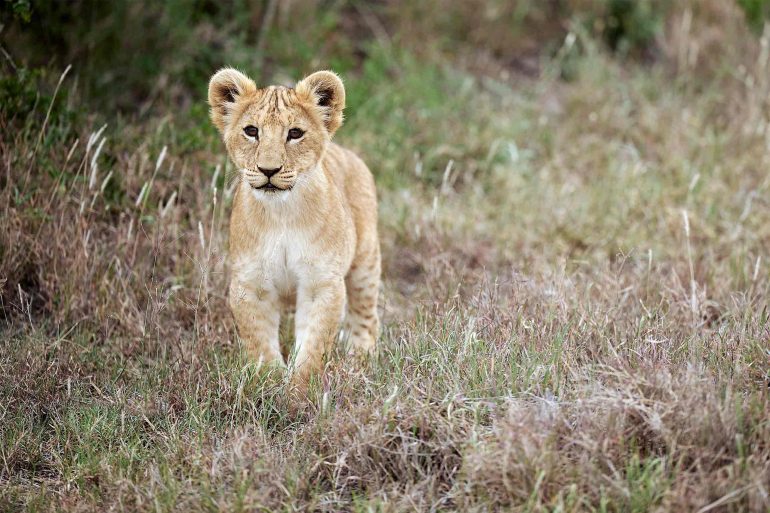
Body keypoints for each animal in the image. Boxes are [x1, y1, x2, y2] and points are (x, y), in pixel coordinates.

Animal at [208, 68, 380, 385]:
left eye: (295, 134)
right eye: (252, 131)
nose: (269, 170)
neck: (282, 214)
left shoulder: (321, 283)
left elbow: (313, 346)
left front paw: (299, 389)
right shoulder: (250, 284)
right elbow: (260, 343)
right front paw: (270, 384)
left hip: (365, 259)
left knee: (366, 313)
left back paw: (360, 357)